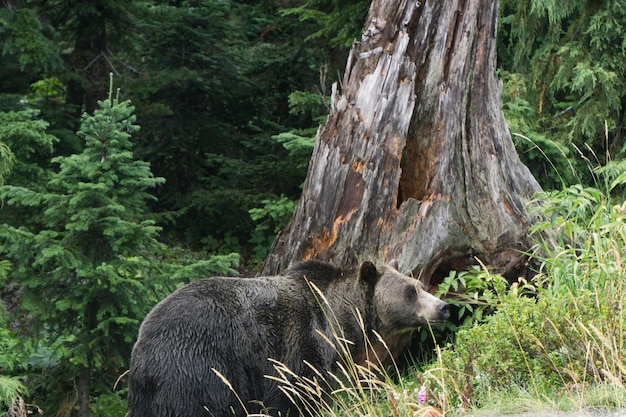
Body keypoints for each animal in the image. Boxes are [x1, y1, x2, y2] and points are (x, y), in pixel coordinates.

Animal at [128, 258, 448, 414]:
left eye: (420, 285)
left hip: (146, 396)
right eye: (410, 291)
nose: (443, 307)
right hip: (200, 369)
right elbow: (295, 395)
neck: (338, 319)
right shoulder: (299, 343)